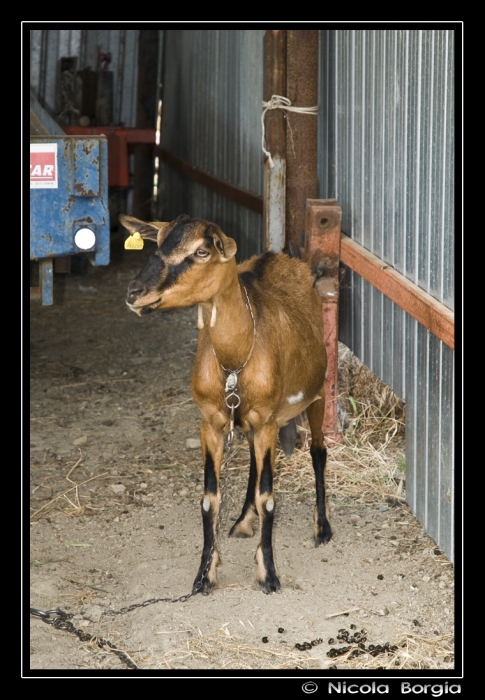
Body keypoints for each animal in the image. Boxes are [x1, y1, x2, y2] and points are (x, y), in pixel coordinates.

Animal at [121, 211, 332, 592]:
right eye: (156, 243)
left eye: (202, 251)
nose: (135, 293)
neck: (235, 358)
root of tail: (278, 254)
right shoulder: (211, 422)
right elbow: (210, 499)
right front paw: (205, 574)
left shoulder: (265, 419)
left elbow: (268, 498)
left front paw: (269, 574)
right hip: (251, 421)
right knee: (255, 462)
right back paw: (243, 521)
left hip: (316, 393)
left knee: (318, 451)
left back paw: (322, 527)